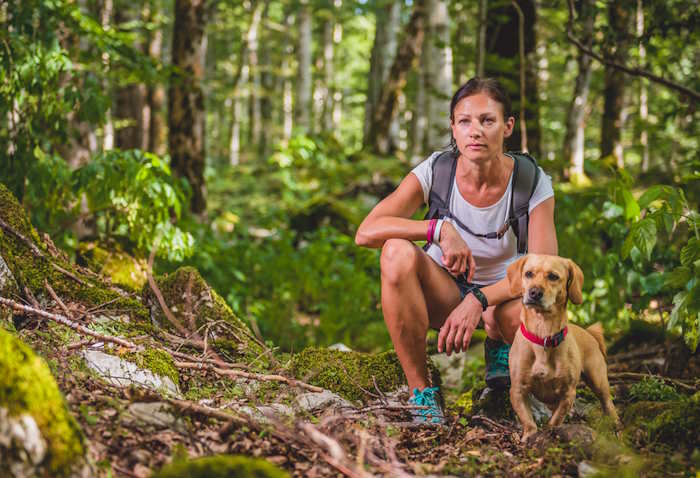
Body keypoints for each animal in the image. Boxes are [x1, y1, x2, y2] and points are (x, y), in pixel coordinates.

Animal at [504, 254, 616, 440]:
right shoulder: (518, 390)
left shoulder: (568, 392)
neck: (543, 335)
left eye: (553, 276)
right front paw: (530, 436)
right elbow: (527, 420)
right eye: (528, 274)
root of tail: (588, 332)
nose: (534, 292)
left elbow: (556, 419)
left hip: (598, 379)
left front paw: (550, 432)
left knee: (608, 402)